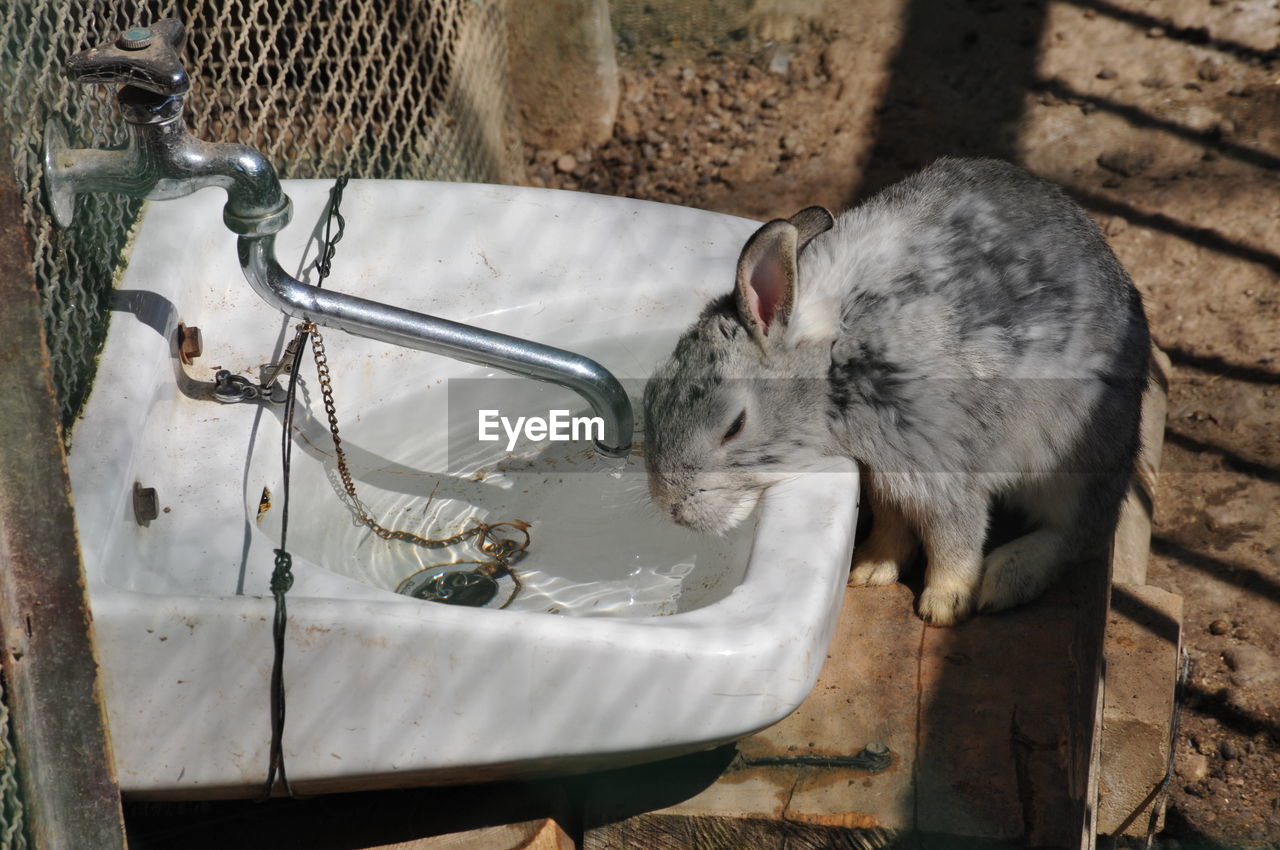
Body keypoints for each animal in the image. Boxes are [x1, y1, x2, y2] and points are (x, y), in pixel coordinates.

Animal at [645, 157, 1157, 624]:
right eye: (651, 392)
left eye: (734, 426)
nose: (671, 507)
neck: (837, 362)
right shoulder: (884, 473)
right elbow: (895, 523)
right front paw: (870, 570)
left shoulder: (941, 467)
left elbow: (954, 537)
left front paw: (945, 605)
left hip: (1075, 458)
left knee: (1079, 533)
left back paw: (1006, 580)